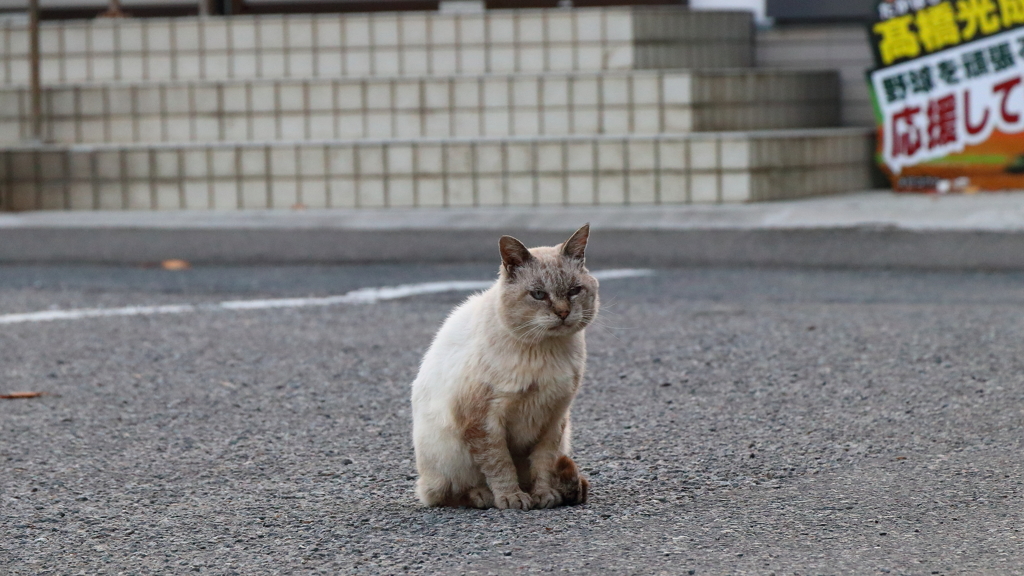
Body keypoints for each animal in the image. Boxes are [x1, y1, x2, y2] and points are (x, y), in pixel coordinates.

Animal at [411, 223, 598, 506]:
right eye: (539, 295)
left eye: (574, 291)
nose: (563, 313)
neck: (545, 350)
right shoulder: (485, 421)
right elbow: (500, 464)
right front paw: (511, 498)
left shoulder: (554, 417)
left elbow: (543, 464)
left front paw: (544, 495)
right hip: (449, 455)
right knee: (450, 492)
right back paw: (483, 496)